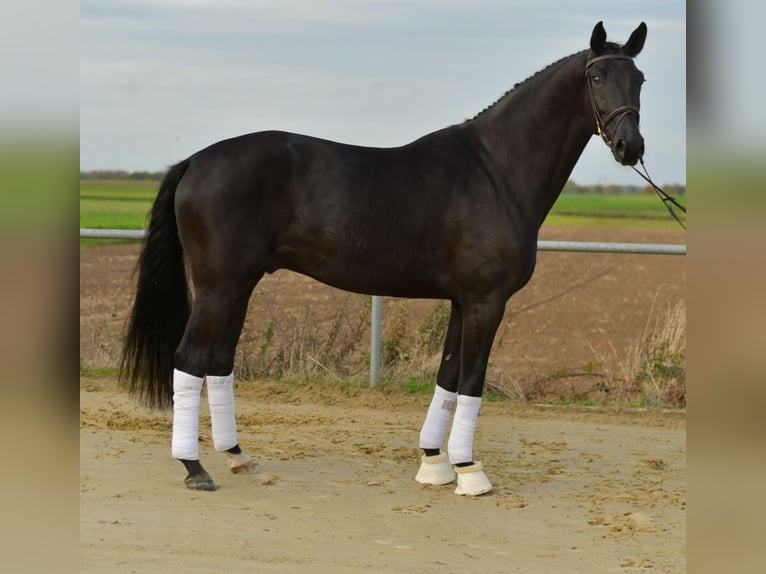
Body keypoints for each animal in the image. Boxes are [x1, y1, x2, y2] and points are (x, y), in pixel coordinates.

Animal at [120, 21, 648, 494]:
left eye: (639, 78)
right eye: (597, 77)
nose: (631, 146)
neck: (495, 170)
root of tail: (195, 161)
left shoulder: (463, 301)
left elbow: (448, 375)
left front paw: (434, 464)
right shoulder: (487, 301)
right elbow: (472, 381)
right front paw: (470, 472)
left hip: (240, 284)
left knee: (218, 360)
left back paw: (236, 455)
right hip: (219, 285)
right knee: (190, 359)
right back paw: (194, 468)